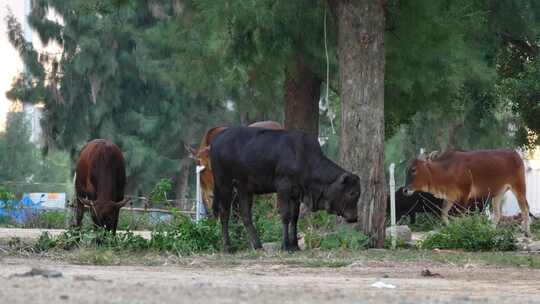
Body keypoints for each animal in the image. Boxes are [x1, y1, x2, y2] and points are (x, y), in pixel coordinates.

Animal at [209, 126, 360, 252]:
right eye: (352, 193)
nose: (354, 217)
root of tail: (218, 137)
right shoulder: (283, 188)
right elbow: (286, 216)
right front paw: (286, 246)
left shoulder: (296, 193)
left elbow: (295, 217)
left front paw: (295, 246)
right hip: (224, 184)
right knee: (224, 212)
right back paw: (227, 247)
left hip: (244, 188)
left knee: (245, 215)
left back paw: (258, 245)